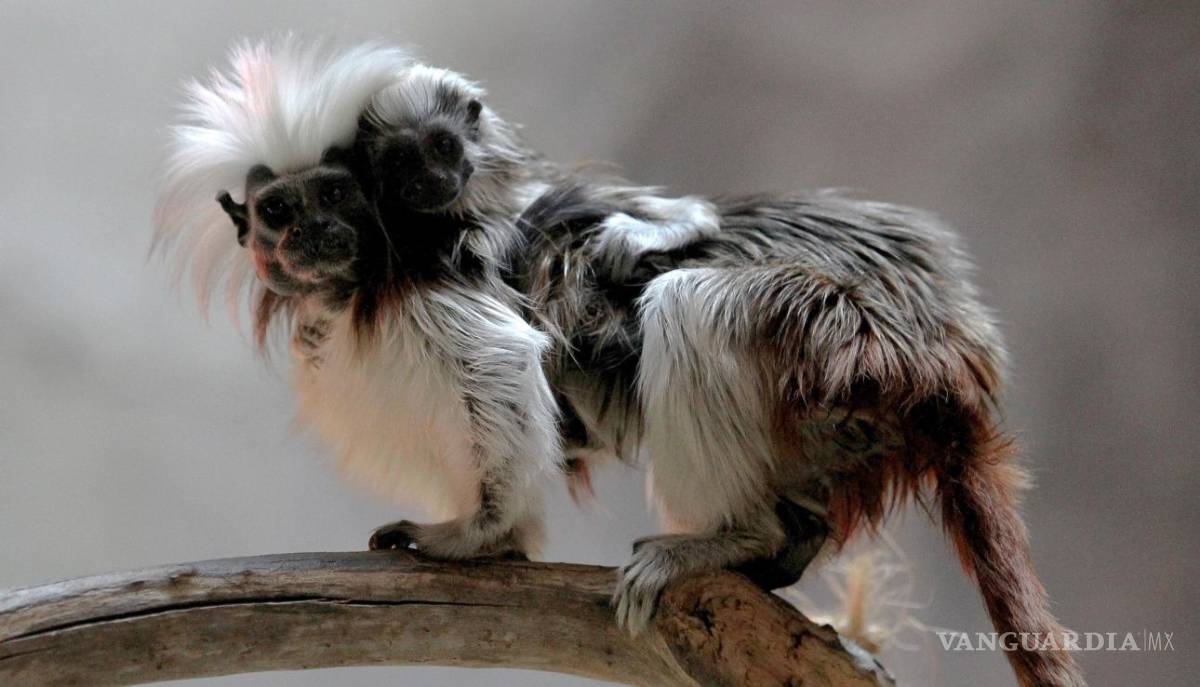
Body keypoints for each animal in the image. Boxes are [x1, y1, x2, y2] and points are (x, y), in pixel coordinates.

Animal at [155, 40, 1085, 687]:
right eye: (278, 211)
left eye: (337, 196)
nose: (314, 234)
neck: (370, 266)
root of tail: (947, 361)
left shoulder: (437, 291)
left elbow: (501, 367)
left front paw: (477, 538)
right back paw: (786, 544)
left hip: (834, 341)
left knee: (687, 302)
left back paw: (729, 537)